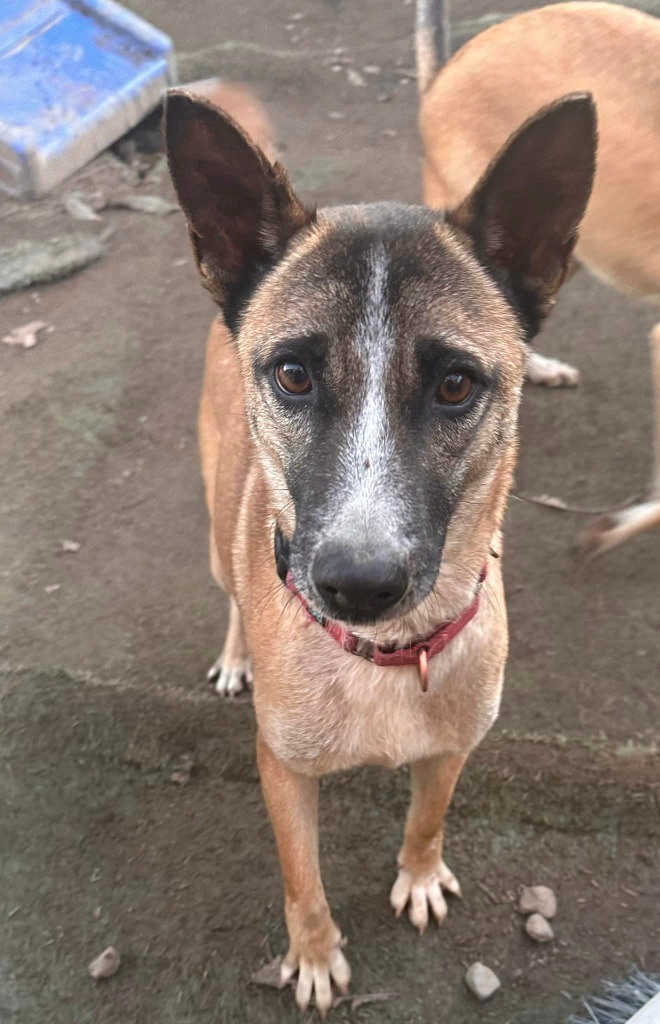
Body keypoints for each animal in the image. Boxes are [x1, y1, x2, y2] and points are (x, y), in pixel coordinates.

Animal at [165, 77, 597, 1007]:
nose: (357, 585)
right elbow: (302, 879)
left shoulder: (453, 748)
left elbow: (427, 817)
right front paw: (315, 954)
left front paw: (420, 874)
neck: (387, 654)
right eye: (293, 374)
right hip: (219, 537)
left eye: (456, 385)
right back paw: (236, 653)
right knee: (228, 587)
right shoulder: (283, 770)